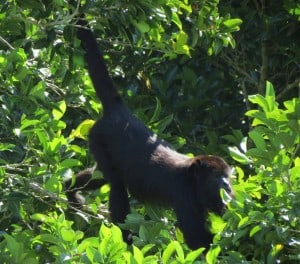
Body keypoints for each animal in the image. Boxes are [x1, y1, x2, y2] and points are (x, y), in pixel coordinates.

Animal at [65, 18, 232, 250]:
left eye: (226, 176)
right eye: (216, 176)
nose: (227, 185)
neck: (193, 178)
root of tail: (120, 111)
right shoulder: (184, 193)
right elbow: (197, 239)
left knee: (99, 176)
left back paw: (69, 190)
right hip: (98, 138)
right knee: (116, 186)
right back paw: (125, 240)